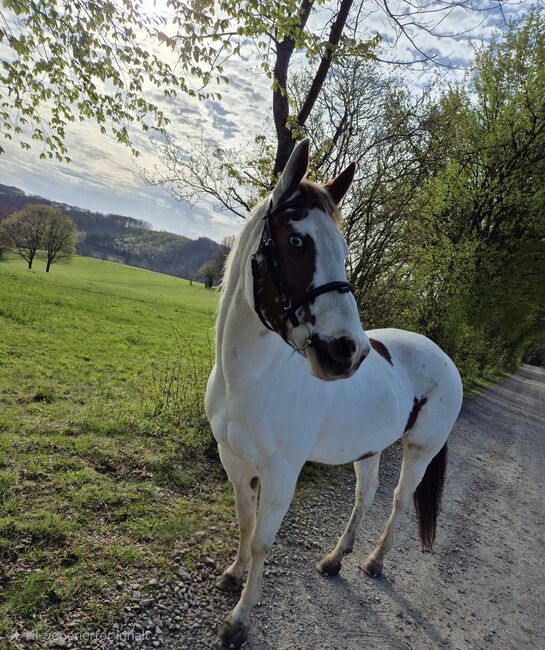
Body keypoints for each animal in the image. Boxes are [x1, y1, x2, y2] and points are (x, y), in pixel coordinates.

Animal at [205, 138, 463, 648]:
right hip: (369, 448)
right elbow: (244, 522)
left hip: (420, 451)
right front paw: (232, 576)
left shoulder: (282, 472)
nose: (348, 352)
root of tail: (444, 358)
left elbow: (263, 539)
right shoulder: (233, 459)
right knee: (367, 496)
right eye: (296, 241)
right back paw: (334, 560)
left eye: (343, 248)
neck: (252, 381)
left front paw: (239, 620)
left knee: (398, 500)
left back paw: (374, 562)